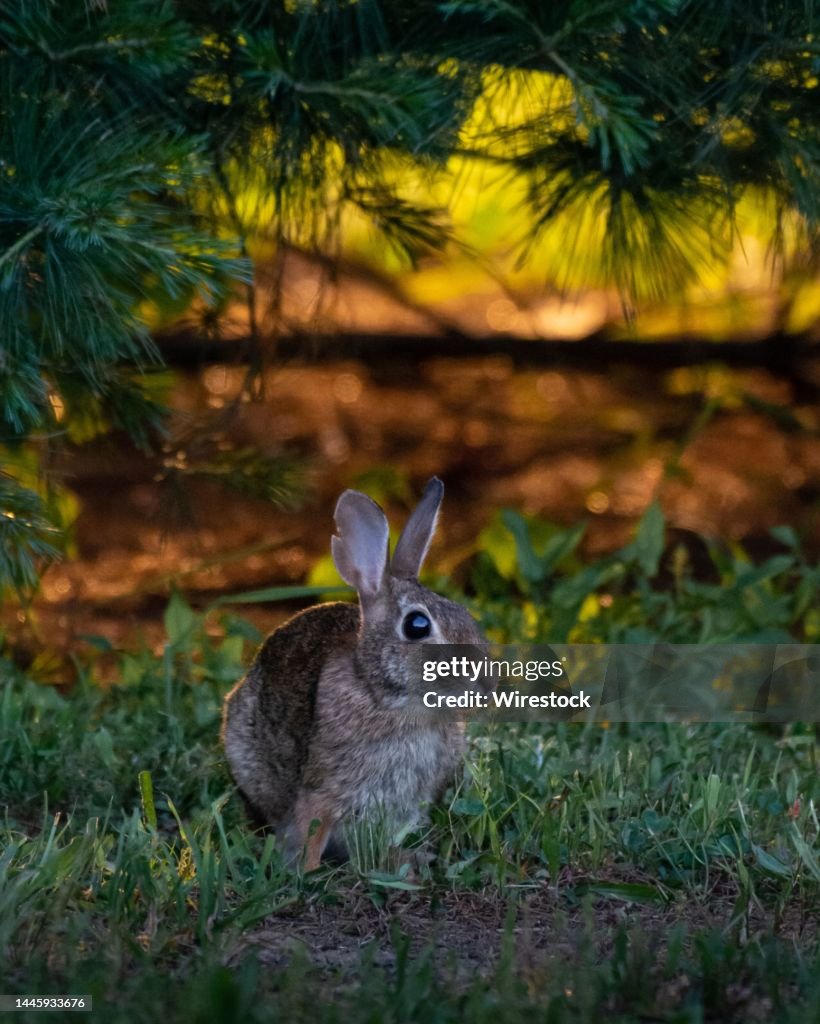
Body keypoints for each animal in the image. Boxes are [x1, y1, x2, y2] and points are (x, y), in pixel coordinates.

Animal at [221, 477, 486, 870]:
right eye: (418, 625)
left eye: (464, 613)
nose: (488, 684)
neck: (385, 698)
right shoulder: (323, 793)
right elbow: (310, 831)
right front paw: (302, 872)